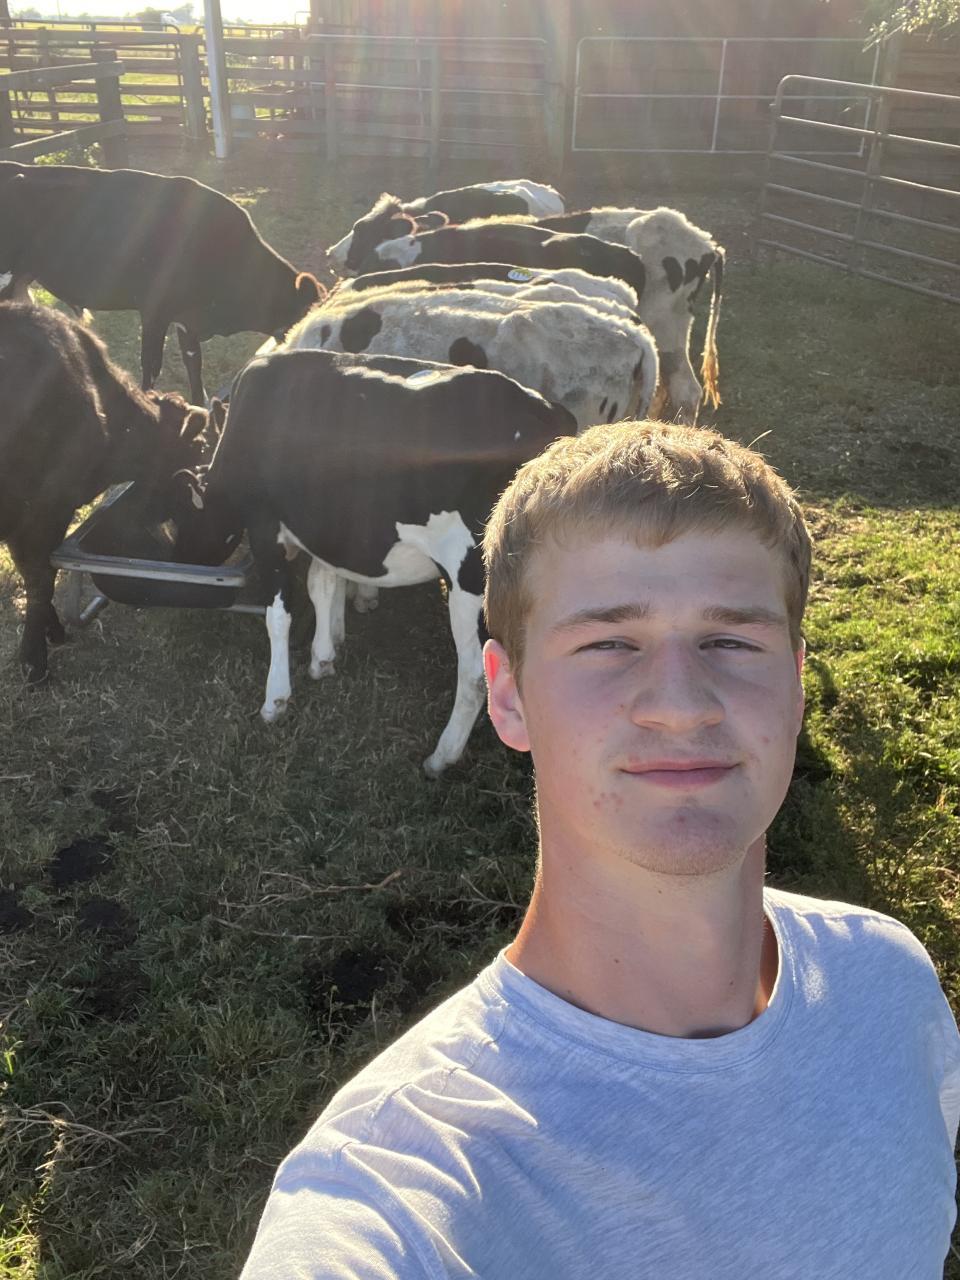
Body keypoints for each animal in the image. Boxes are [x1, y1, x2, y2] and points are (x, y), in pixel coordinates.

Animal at [0, 302, 216, 685]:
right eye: (200, 448)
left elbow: (36, 575)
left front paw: (48, 631)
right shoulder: (44, 509)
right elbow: (40, 578)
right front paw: (35, 658)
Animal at [169, 349, 577, 776]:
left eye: (182, 516)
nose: (177, 563)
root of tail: (548, 412)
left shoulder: (266, 526)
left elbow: (279, 616)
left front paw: (275, 699)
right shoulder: (325, 525)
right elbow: (322, 584)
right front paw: (324, 654)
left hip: (470, 580)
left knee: (474, 675)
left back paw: (441, 757)